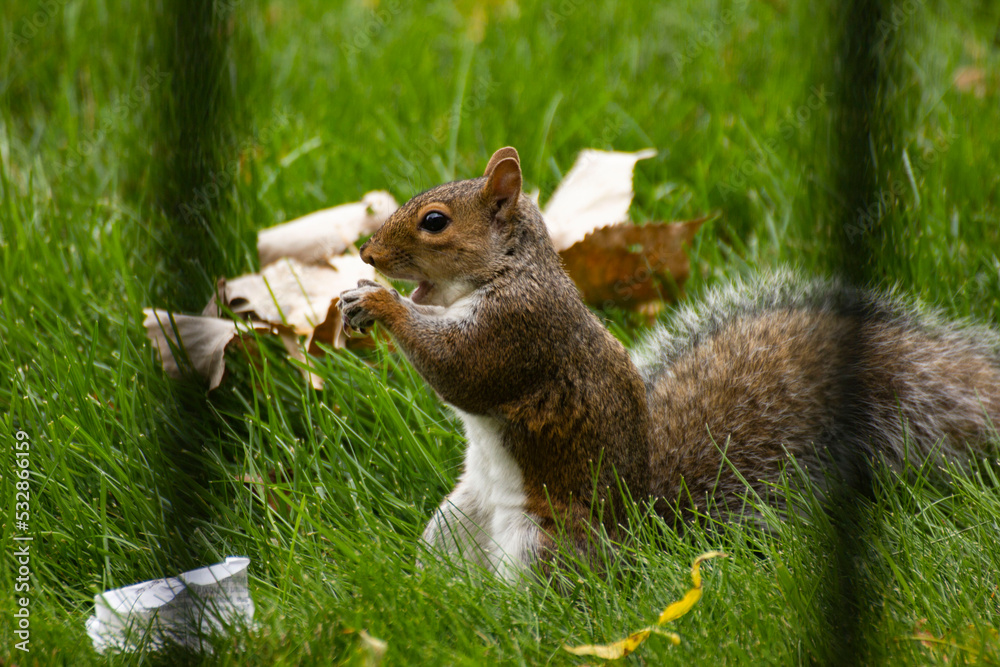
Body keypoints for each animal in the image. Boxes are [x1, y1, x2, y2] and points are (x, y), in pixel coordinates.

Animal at [339, 146, 1000, 581]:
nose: (367, 254)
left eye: (435, 222)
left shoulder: (520, 331)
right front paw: (357, 302)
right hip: (453, 525)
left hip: (543, 543)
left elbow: (462, 370)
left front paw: (382, 303)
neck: (507, 271)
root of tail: (637, 537)